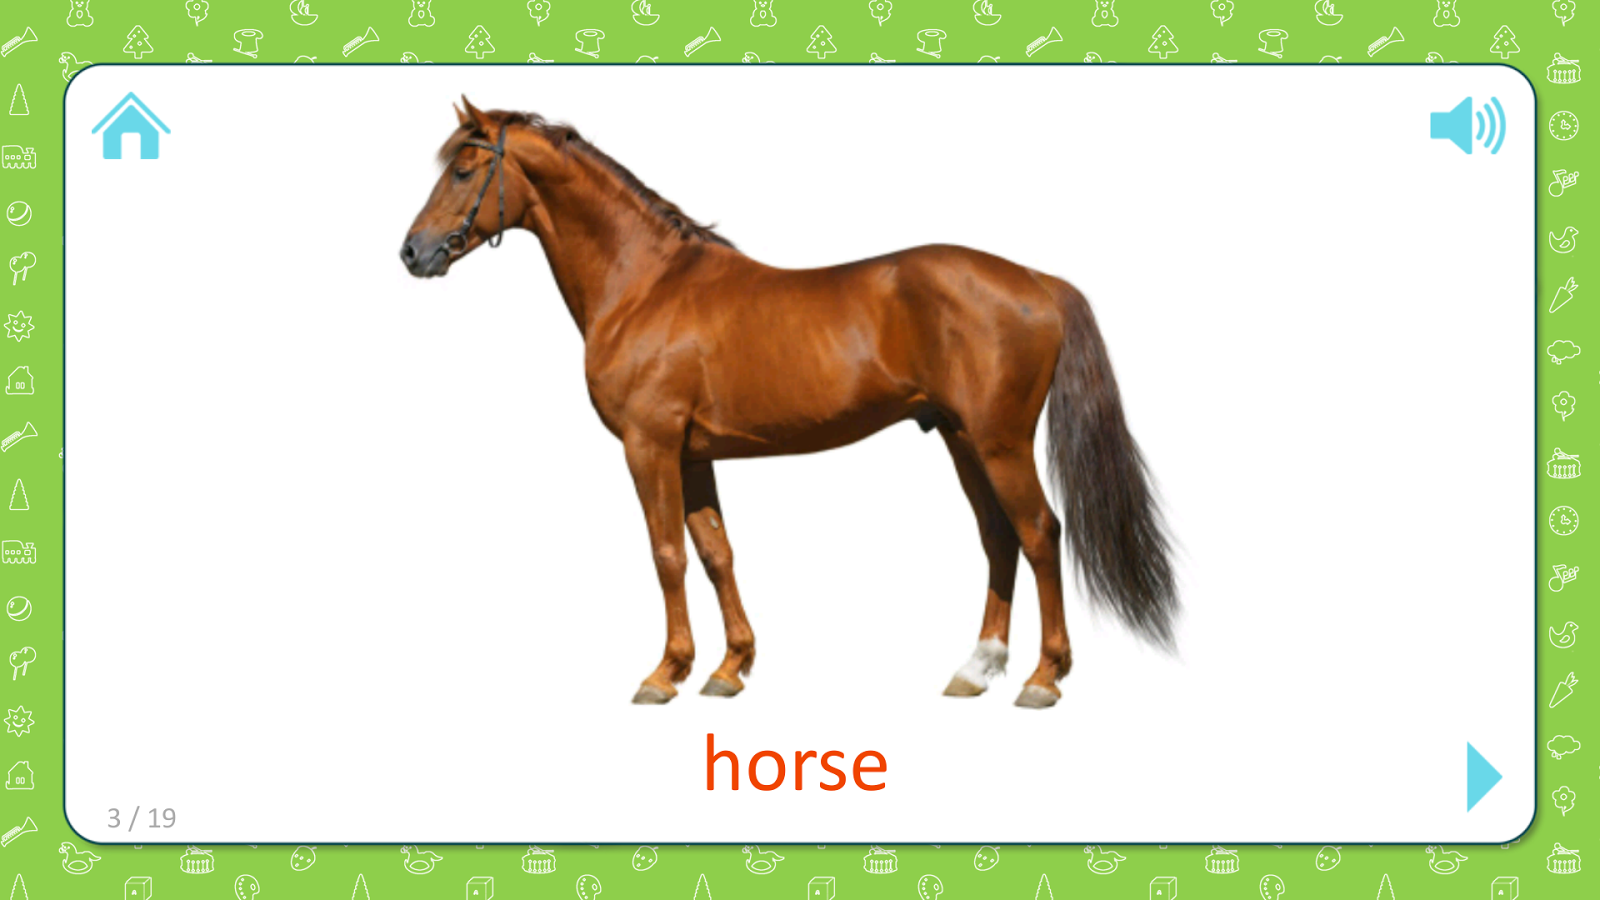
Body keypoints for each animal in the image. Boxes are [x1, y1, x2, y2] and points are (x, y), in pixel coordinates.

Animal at [401, 98, 1177, 708]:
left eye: (463, 170)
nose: (412, 252)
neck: (645, 284)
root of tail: (1039, 281)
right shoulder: (693, 455)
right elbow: (716, 553)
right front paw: (728, 668)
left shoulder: (649, 445)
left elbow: (666, 554)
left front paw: (664, 673)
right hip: (962, 439)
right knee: (998, 537)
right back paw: (975, 669)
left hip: (999, 442)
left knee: (1040, 532)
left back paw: (1043, 678)